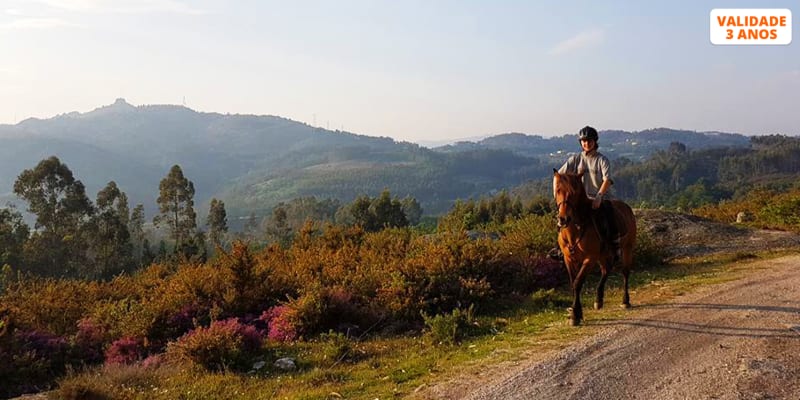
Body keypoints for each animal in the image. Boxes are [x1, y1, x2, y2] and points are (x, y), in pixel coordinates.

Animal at [553, 169, 637, 326]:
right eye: (558, 190)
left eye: (574, 192)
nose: (563, 219)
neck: (576, 228)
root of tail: (627, 207)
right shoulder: (569, 259)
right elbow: (573, 283)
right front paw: (576, 312)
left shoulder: (589, 259)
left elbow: (578, 283)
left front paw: (575, 315)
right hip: (603, 254)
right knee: (606, 270)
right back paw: (599, 300)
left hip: (627, 248)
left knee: (625, 272)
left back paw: (625, 301)